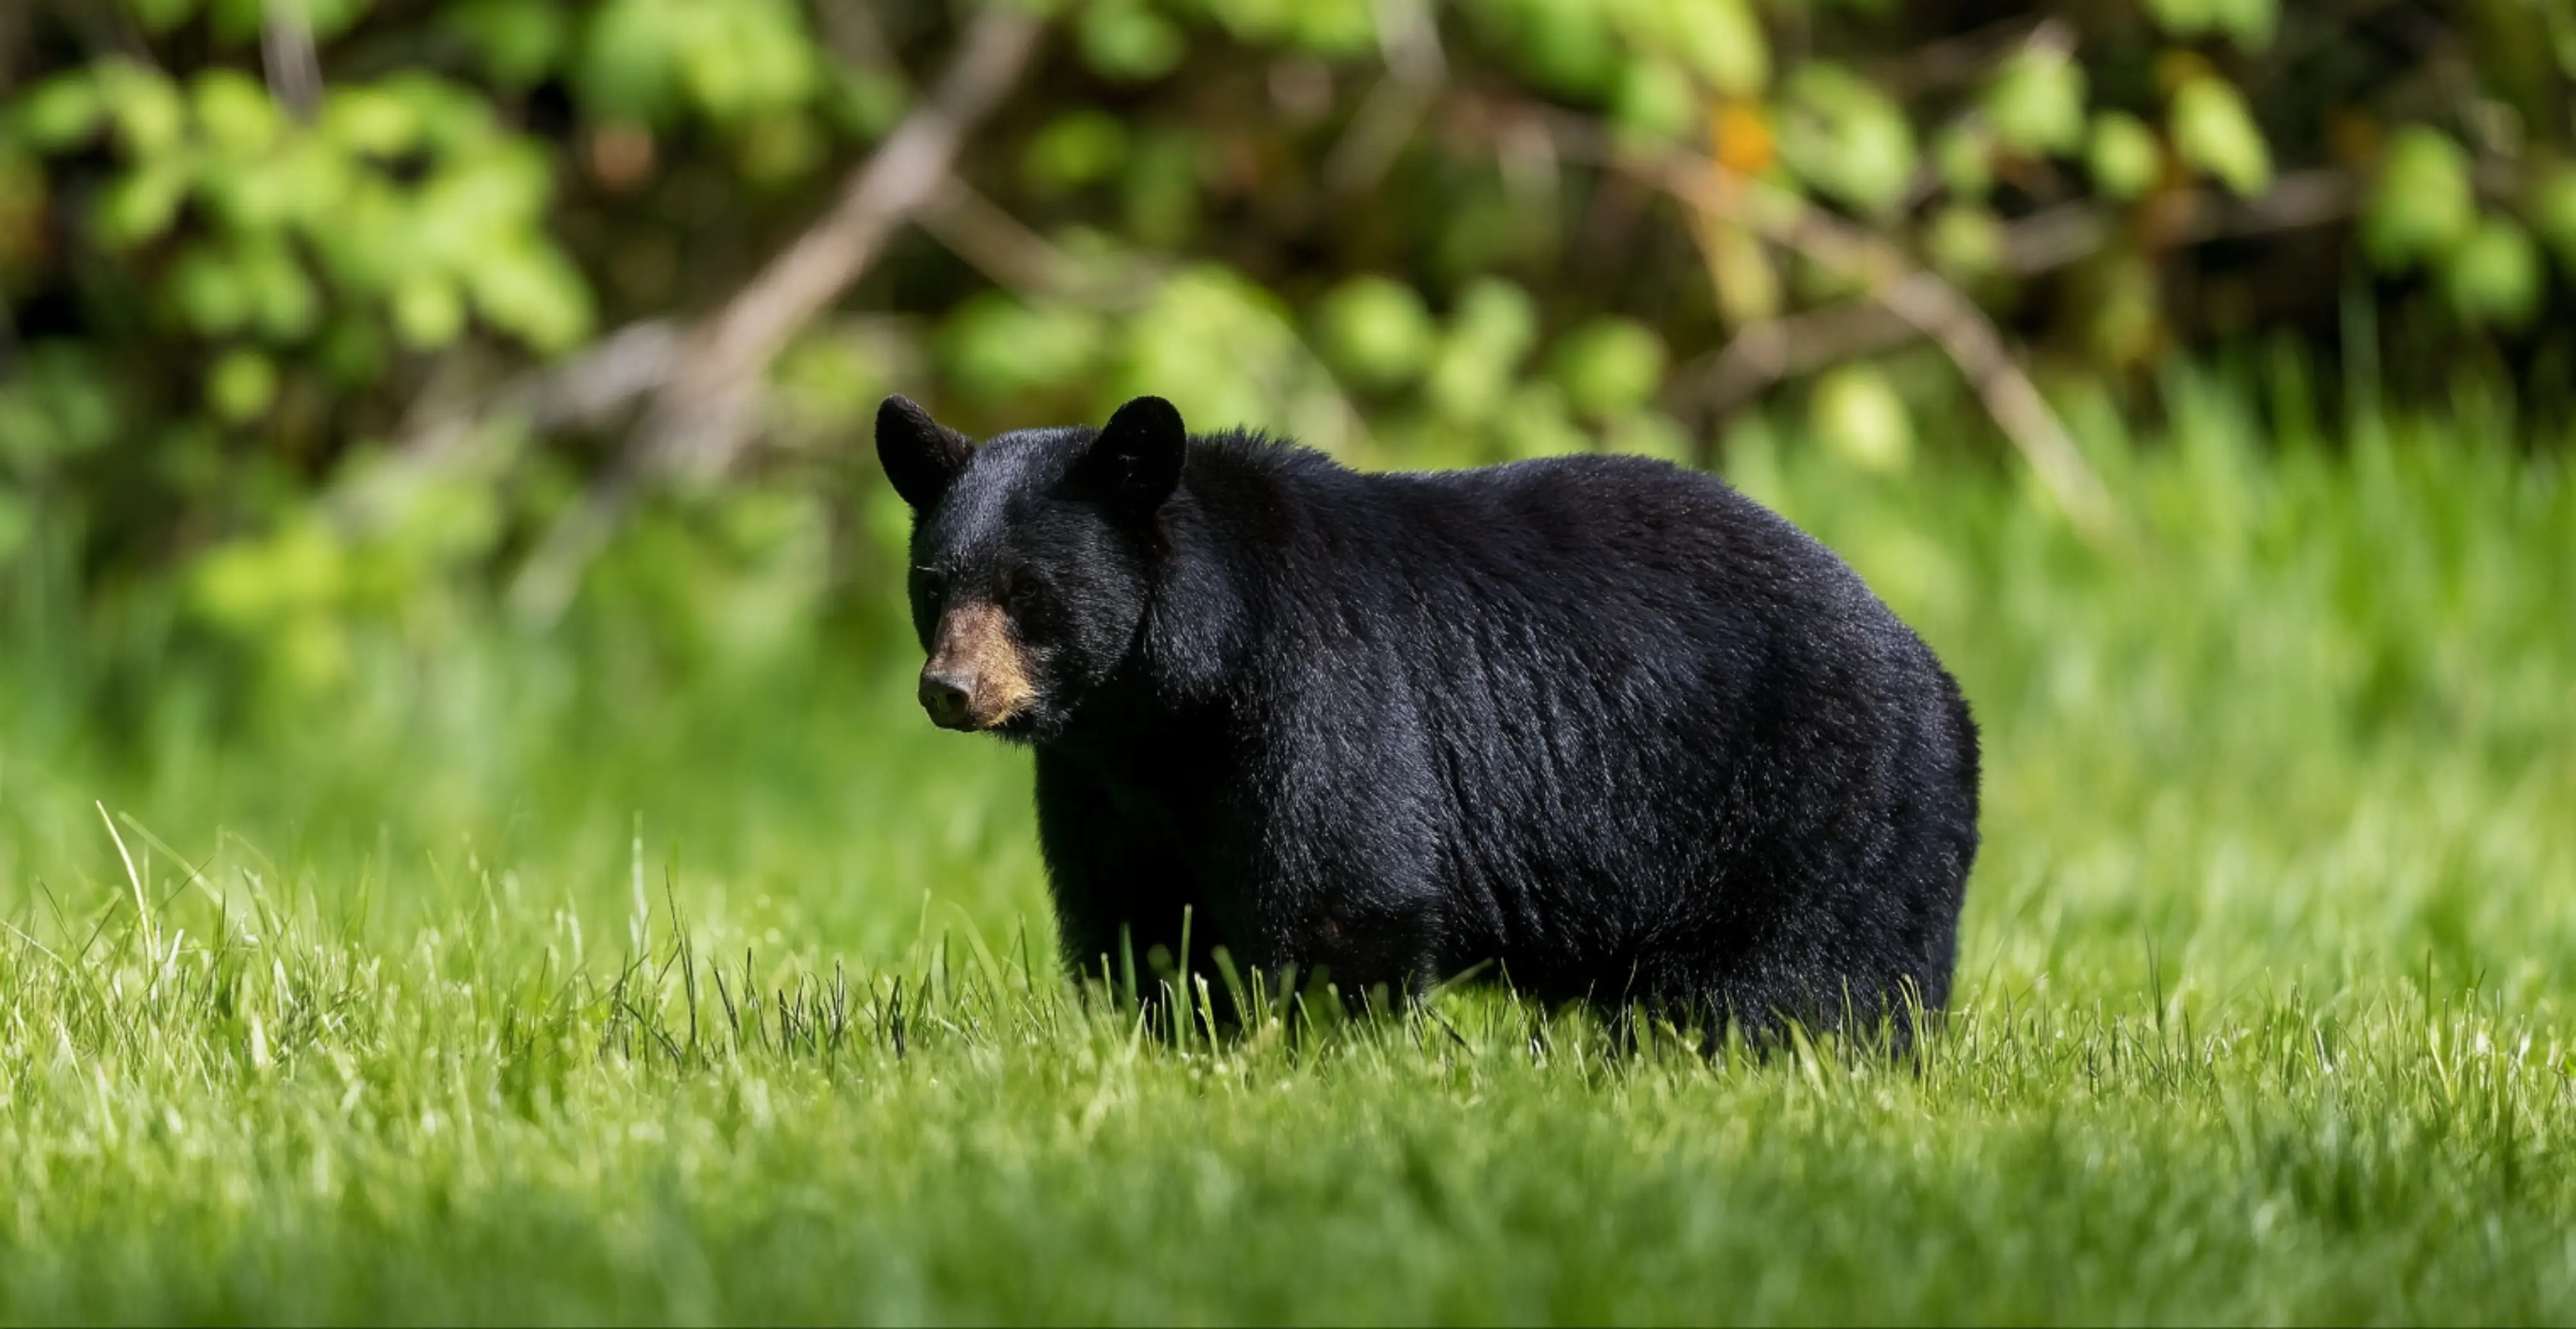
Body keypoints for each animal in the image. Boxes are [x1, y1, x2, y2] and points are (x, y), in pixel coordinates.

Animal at [877, 392, 1980, 1044]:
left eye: (1027, 593)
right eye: (934, 585)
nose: (949, 690)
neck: (1171, 701)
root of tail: (1939, 678)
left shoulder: (1319, 690)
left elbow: (1345, 885)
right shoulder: (1106, 784)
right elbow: (1140, 920)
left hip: (1812, 808)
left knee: (1807, 984)